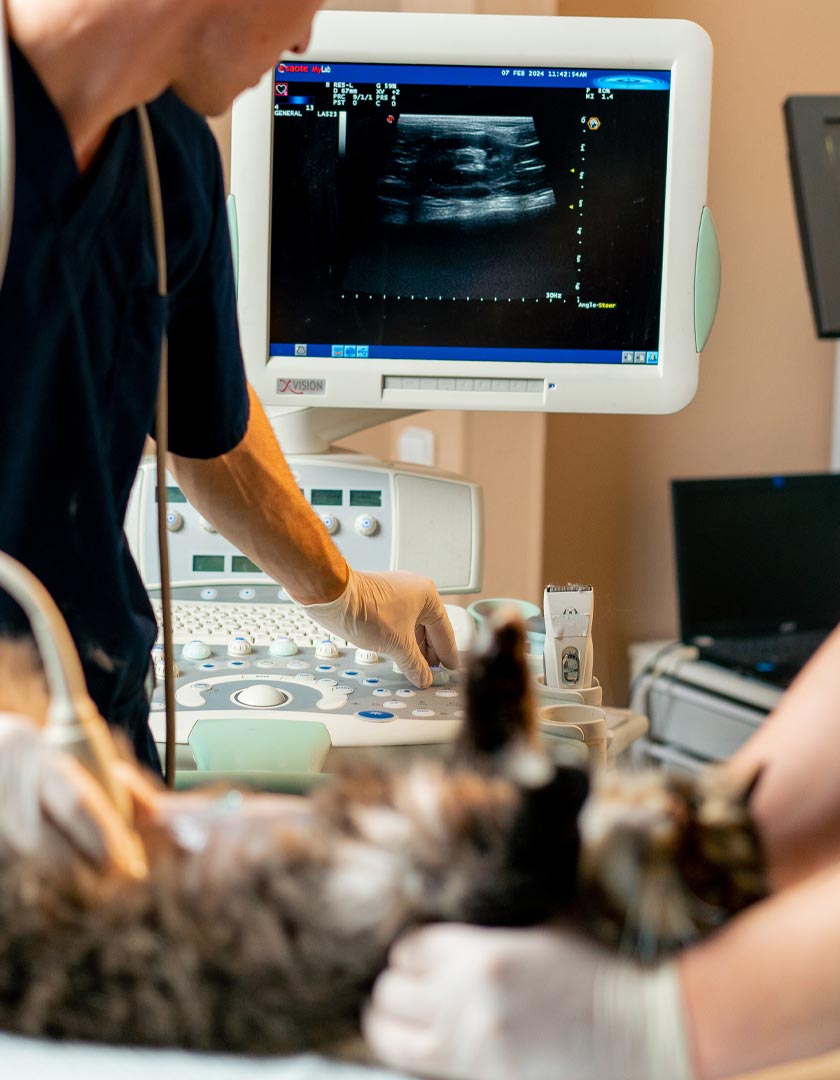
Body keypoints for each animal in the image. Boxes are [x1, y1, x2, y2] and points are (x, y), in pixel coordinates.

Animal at [0, 617, 764, 1054]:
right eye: (689, 801)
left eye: (708, 881)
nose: (666, 818)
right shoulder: (472, 773)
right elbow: (495, 732)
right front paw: (497, 643)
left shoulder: (473, 888)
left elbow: (539, 814)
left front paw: (566, 779)